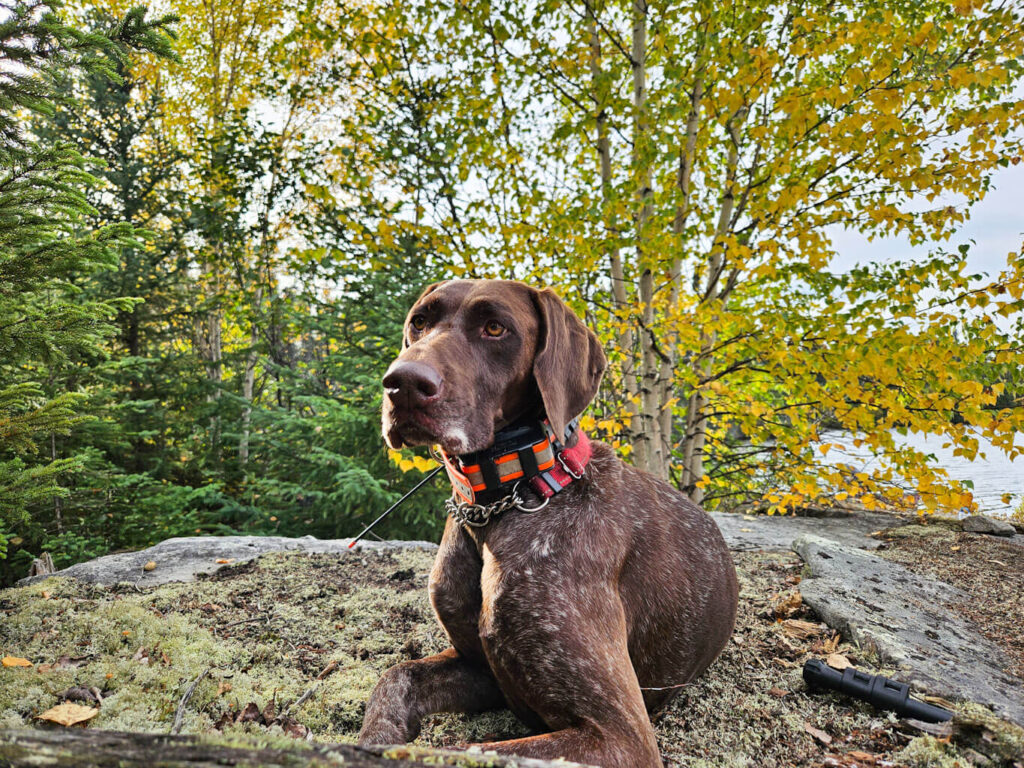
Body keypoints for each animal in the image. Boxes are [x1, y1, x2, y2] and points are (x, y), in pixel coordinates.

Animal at [360, 282, 737, 768]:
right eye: (419, 322)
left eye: (495, 328)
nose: (403, 383)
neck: (504, 501)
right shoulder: (482, 667)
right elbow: (396, 676)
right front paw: (376, 733)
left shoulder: (621, 736)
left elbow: (451, 752)